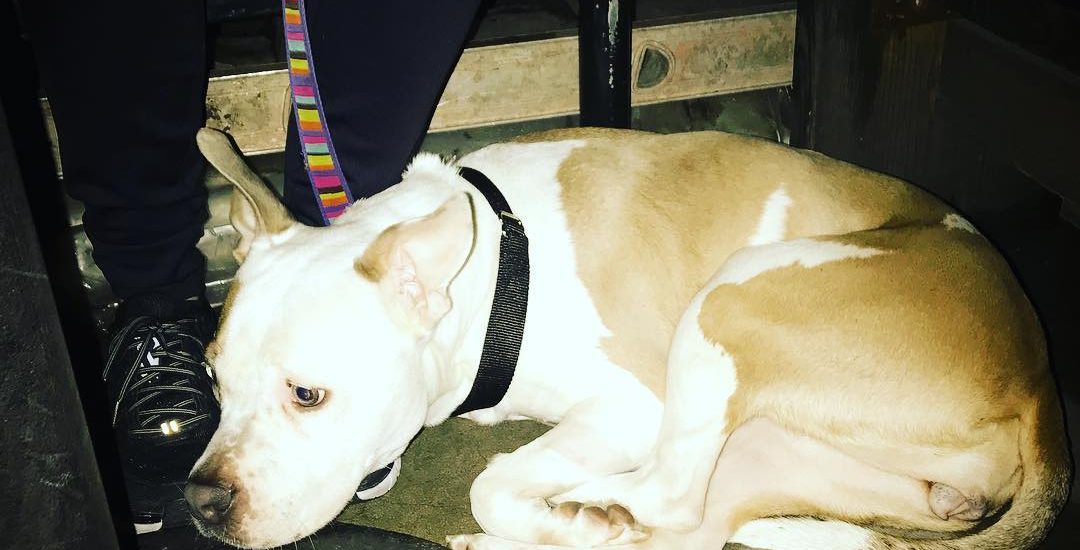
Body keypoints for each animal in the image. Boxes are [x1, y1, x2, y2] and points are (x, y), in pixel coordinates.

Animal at [186, 127, 1070, 550]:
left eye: (308, 395)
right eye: (213, 379)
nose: (200, 502)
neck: (499, 270)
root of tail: (1037, 379)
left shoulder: (635, 405)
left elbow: (492, 481)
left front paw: (564, 514)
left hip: (734, 297)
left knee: (672, 499)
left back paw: (585, 511)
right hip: (773, 444)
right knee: (695, 528)